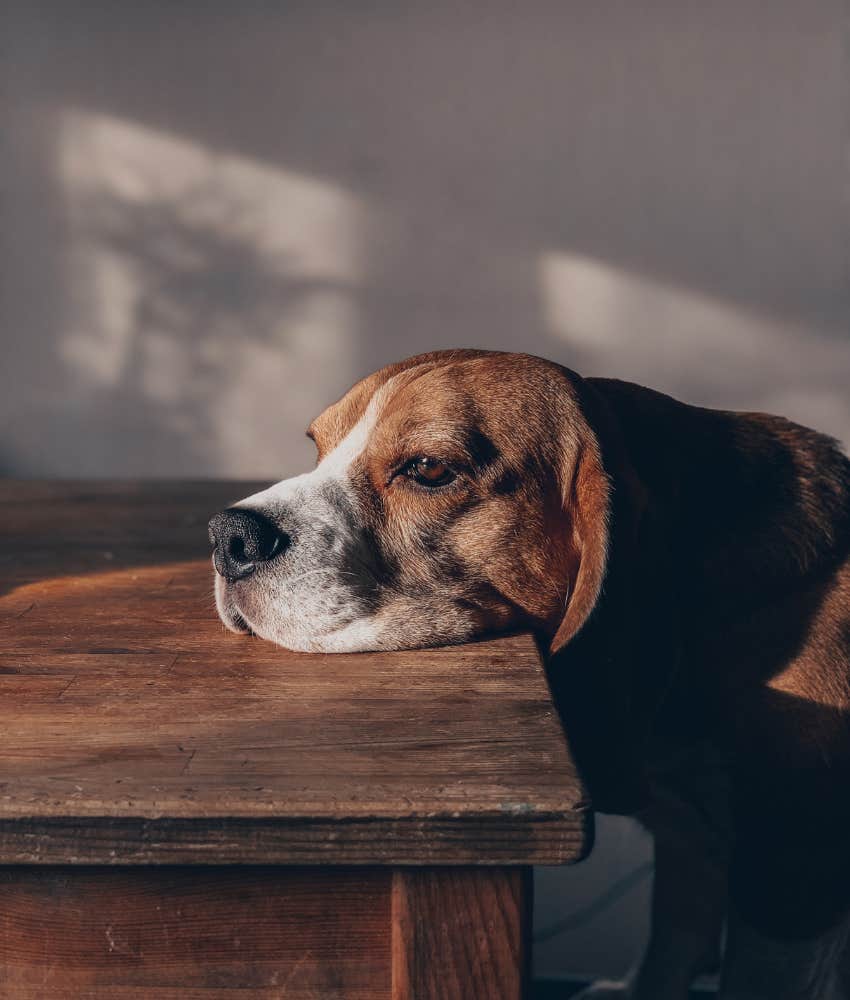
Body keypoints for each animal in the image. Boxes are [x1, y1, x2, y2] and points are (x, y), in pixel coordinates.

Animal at [207, 348, 848, 996]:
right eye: (320, 445)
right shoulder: (688, 834)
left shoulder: (791, 881)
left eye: (429, 469)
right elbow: (673, 934)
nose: (229, 536)